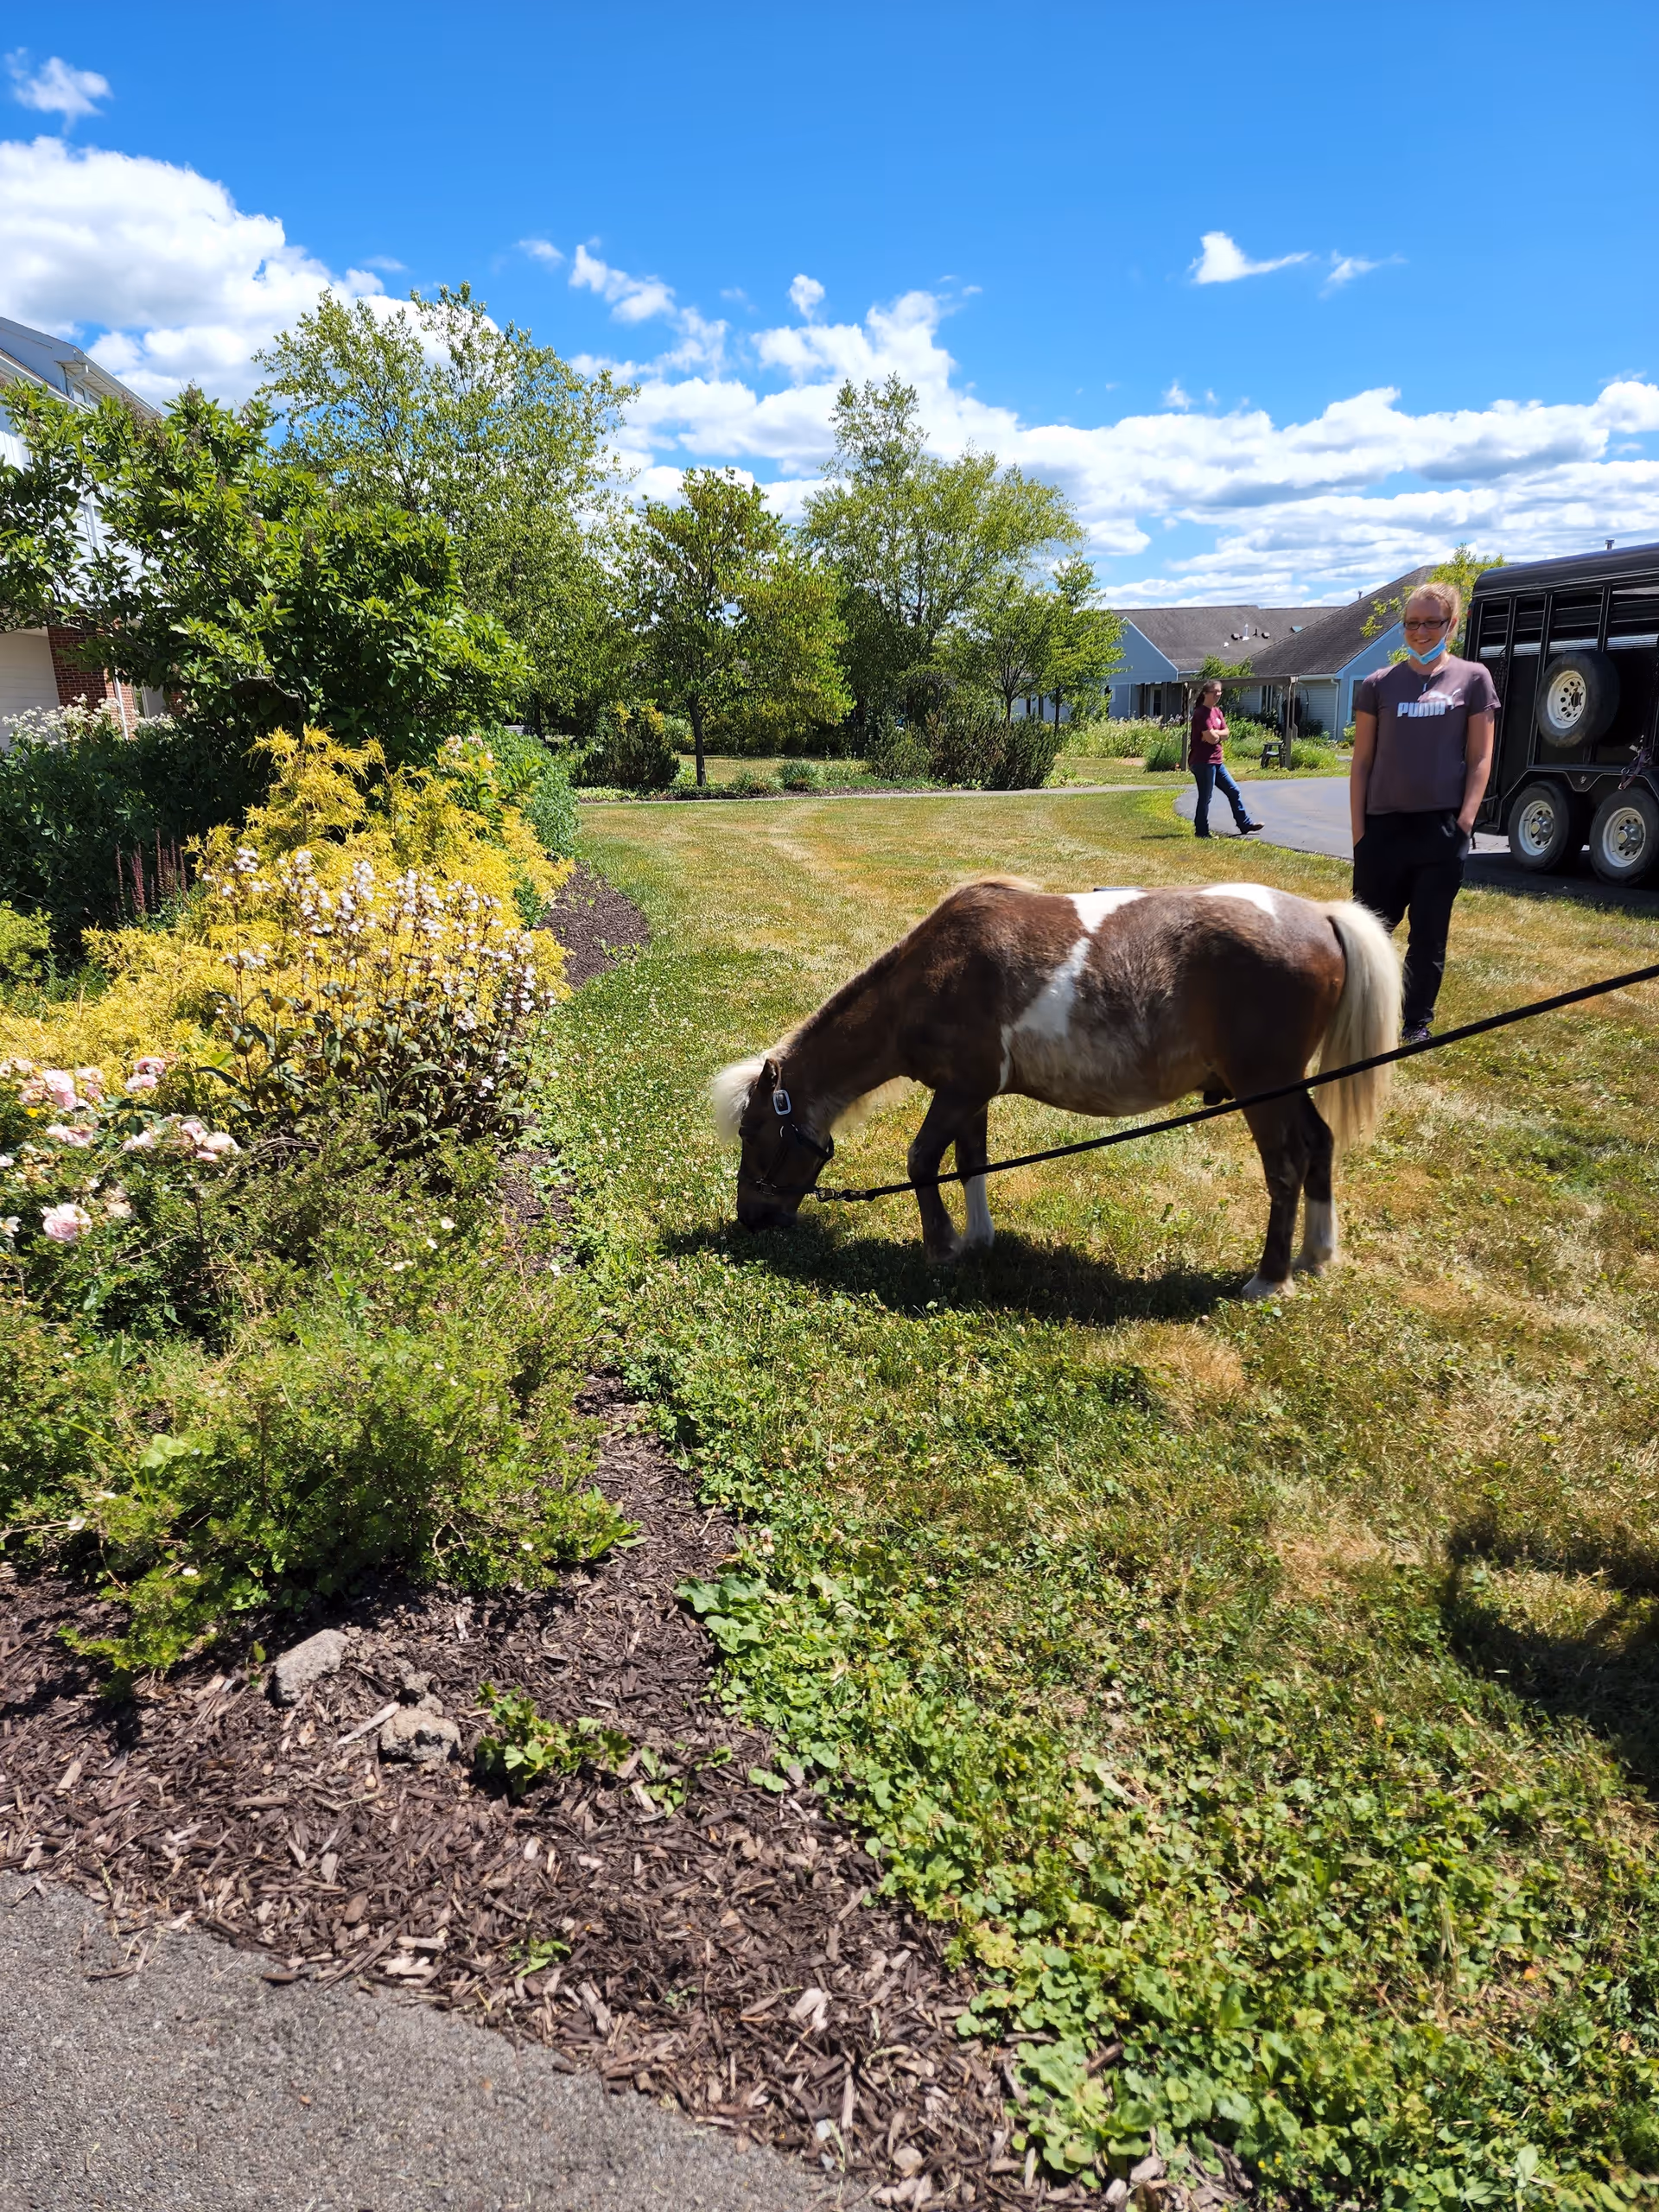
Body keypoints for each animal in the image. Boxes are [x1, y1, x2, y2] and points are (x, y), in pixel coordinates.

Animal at [712, 878, 1400, 1298]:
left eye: (753, 1131)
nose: (750, 1219)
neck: (930, 977)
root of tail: (1320, 916)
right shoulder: (973, 1095)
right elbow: (970, 1162)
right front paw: (978, 1239)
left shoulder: (960, 1089)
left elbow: (921, 1161)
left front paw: (941, 1247)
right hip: (1286, 1083)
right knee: (1318, 1143)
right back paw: (1316, 1253)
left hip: (1264, 1086)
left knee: (1285, 1166)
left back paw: (1270, 1277)